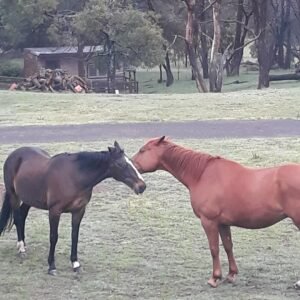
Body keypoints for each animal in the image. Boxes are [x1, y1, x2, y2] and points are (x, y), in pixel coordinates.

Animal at [0, 142, 145, 276]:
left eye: (131, 161)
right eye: (121, 164)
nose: (142, 186)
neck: (75, 177)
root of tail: (14, 154)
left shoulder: (79, 211)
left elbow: (74, 235)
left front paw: (75, 264)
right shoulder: (54, 211)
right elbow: (53, 237)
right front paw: (52, 266)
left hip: (29, 199)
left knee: (23, 216)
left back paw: (23, 244)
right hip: (14, 195)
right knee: (18, 219)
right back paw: (21, 249)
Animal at [132, 137, 300, 288]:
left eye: (143, 150)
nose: (130, 165)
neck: (201, 175)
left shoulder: (209, 221)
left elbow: (214, 248)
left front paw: (214, 278)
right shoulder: (223, 223)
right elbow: (227, 246)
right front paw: (231, 275)